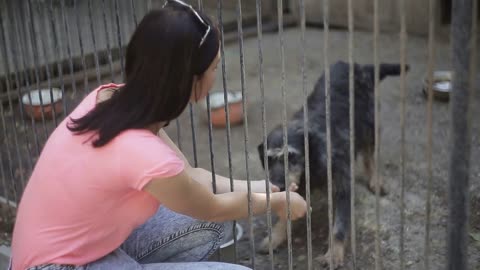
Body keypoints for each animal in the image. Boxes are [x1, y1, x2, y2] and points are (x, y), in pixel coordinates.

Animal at [256, 60, 406, 268]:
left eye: (291, 157)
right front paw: (275, 237)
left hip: (369, 125)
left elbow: (339, 226)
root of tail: (358, 66)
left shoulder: (342, 184)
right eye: (269, 159)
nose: (278, 185)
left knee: (370, 155)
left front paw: (334, 253)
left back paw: (375, 179)